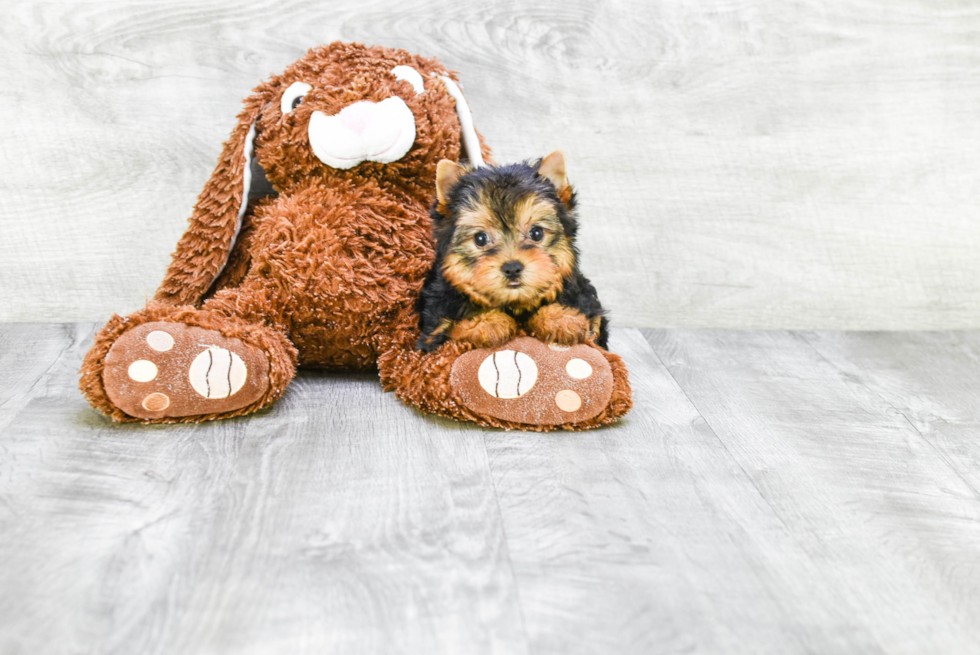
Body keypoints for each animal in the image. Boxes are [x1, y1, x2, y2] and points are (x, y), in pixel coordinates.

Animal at [418, 151, 608, 354]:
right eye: (480, 238)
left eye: (536, 233)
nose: (512, 268)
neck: (515, 304)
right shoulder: (434, 331)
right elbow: (451, 334)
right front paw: (487, 323)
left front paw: (560, 318)